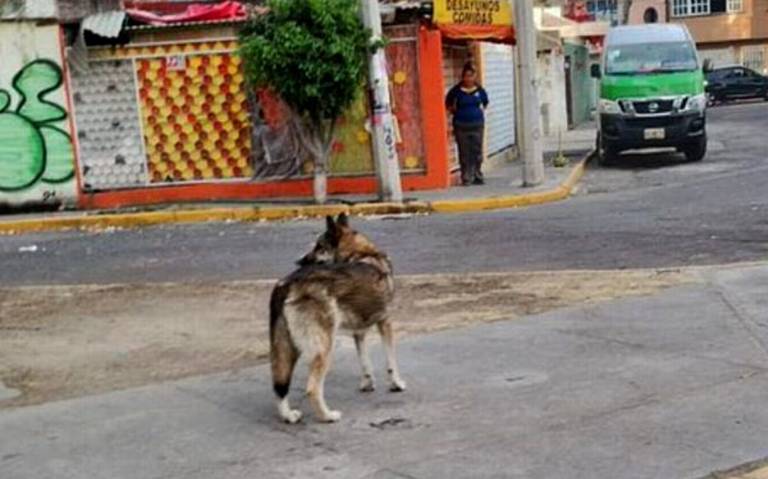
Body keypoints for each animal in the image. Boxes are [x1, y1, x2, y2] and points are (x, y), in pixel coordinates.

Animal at [268, 214, 404, 424]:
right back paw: (328, 416)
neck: (360, 253)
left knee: (279, 385)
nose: (297, 261)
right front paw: (396, 384)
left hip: (288, 347)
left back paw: (289, 415)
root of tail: (286, 282)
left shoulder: (359, 332)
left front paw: (367, 384)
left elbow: (365, 362)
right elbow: (391, 362)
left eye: (319, 247)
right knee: (312, 388)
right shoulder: (385, 323)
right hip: (324, 348)